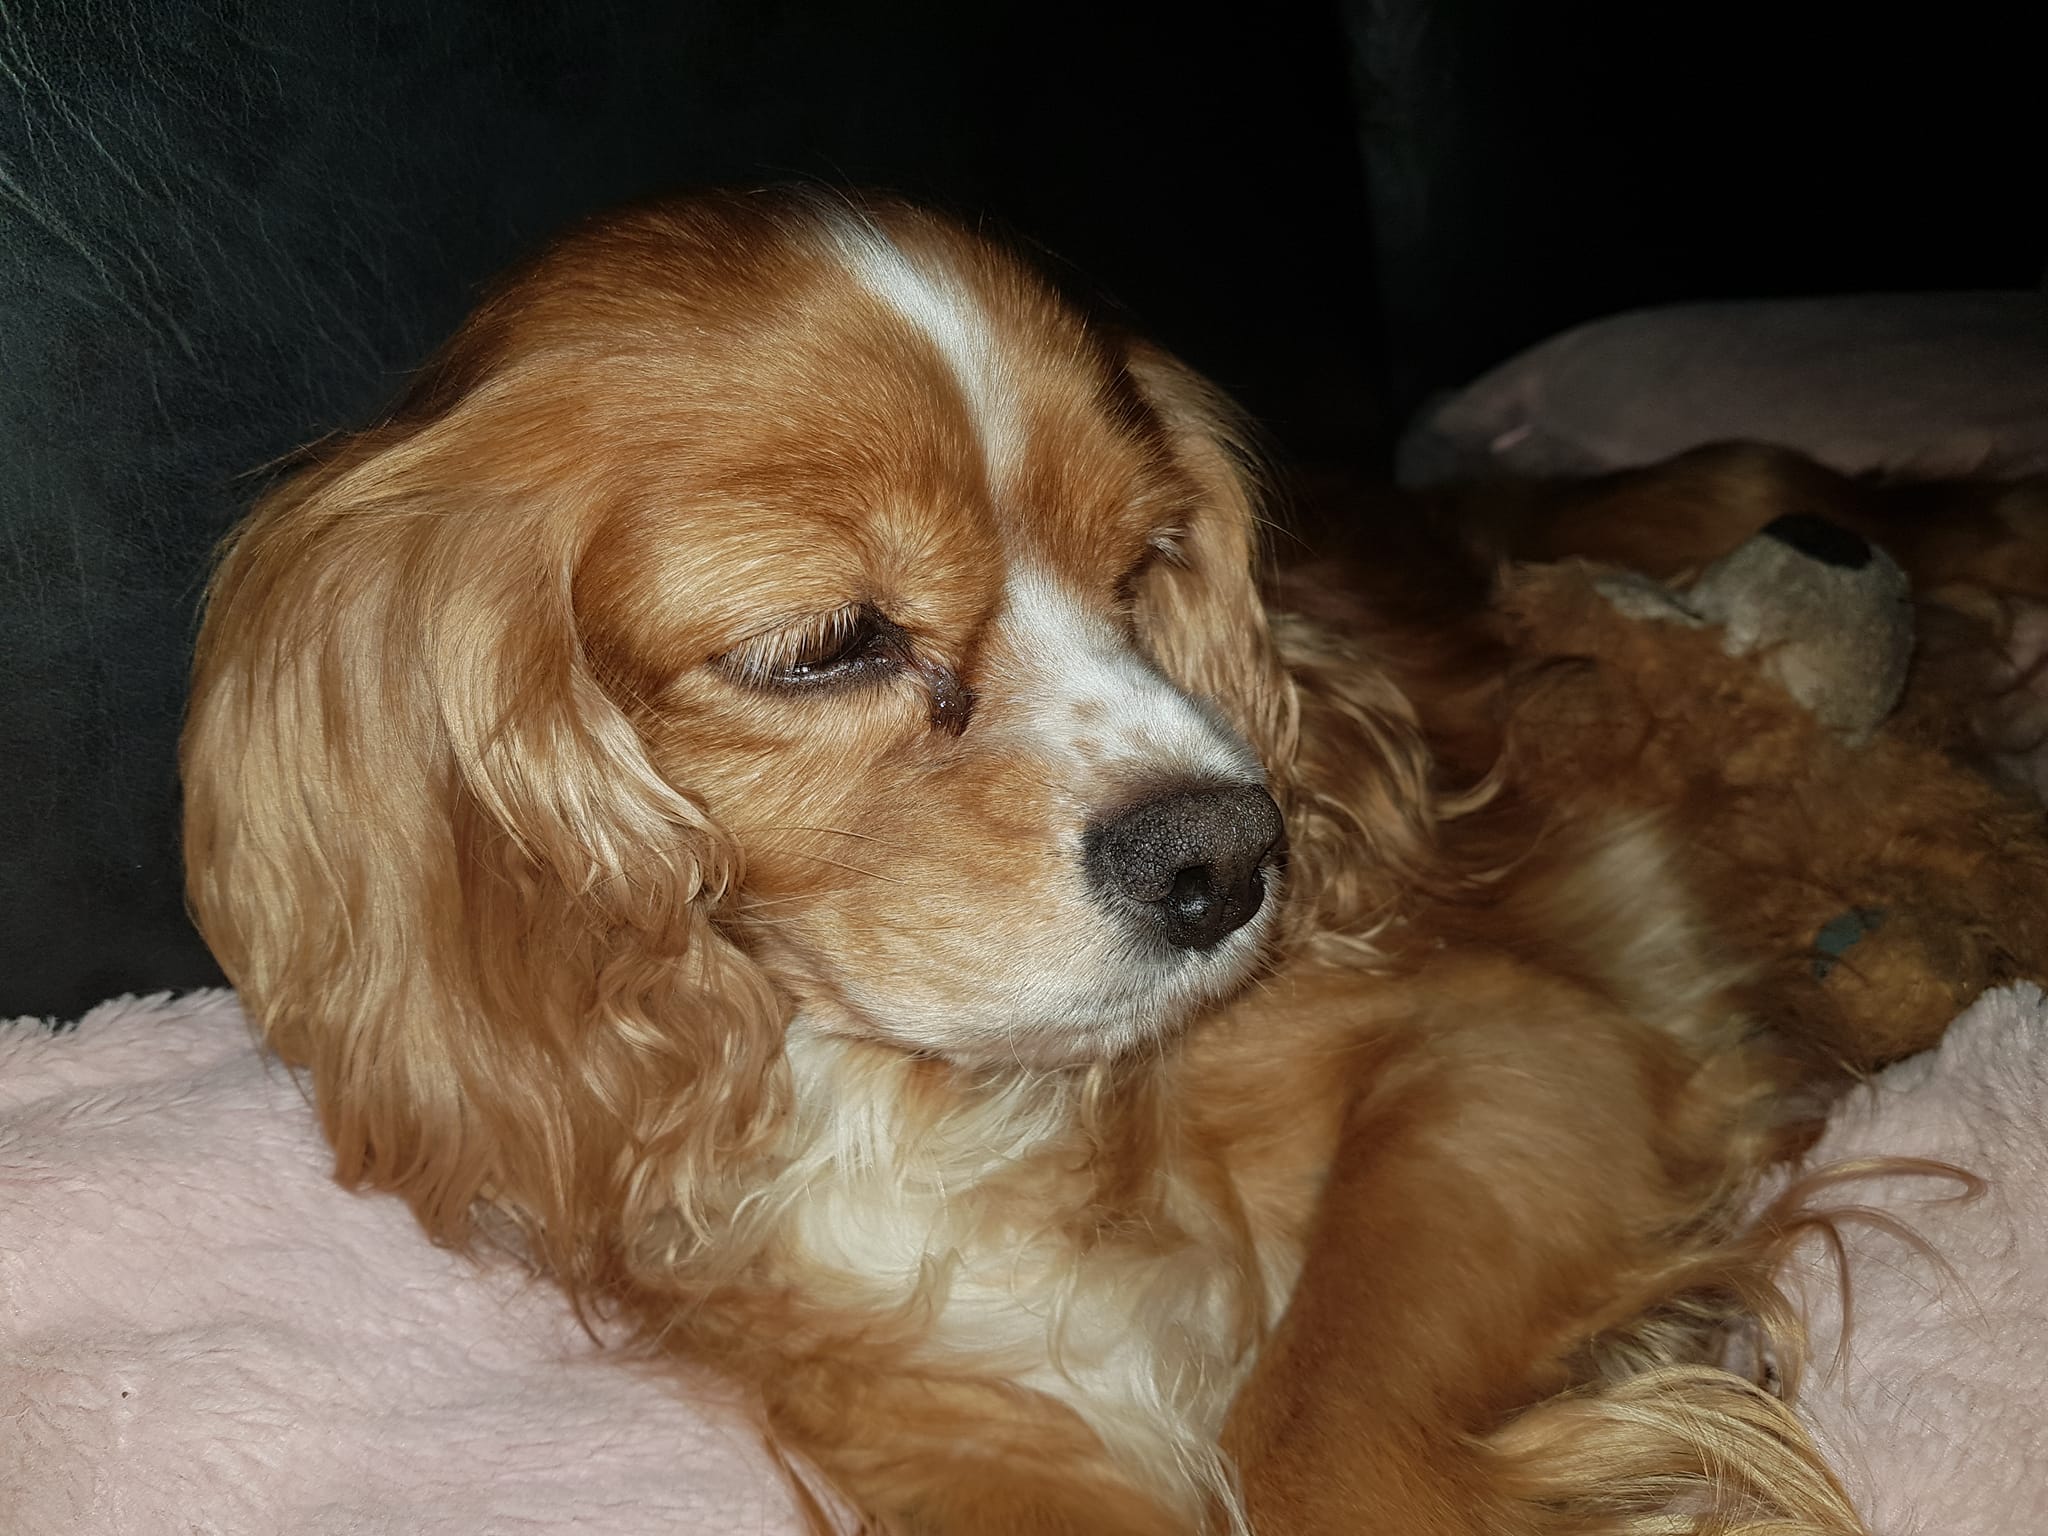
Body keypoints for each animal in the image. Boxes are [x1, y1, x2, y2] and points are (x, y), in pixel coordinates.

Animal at [180, 190, 2038, 1534]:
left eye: (1147, 561)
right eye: (821, 646)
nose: (1232, 854)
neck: (930, 1100)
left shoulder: (1523, 1040)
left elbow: (1311, 1433)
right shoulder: (872, 1370)